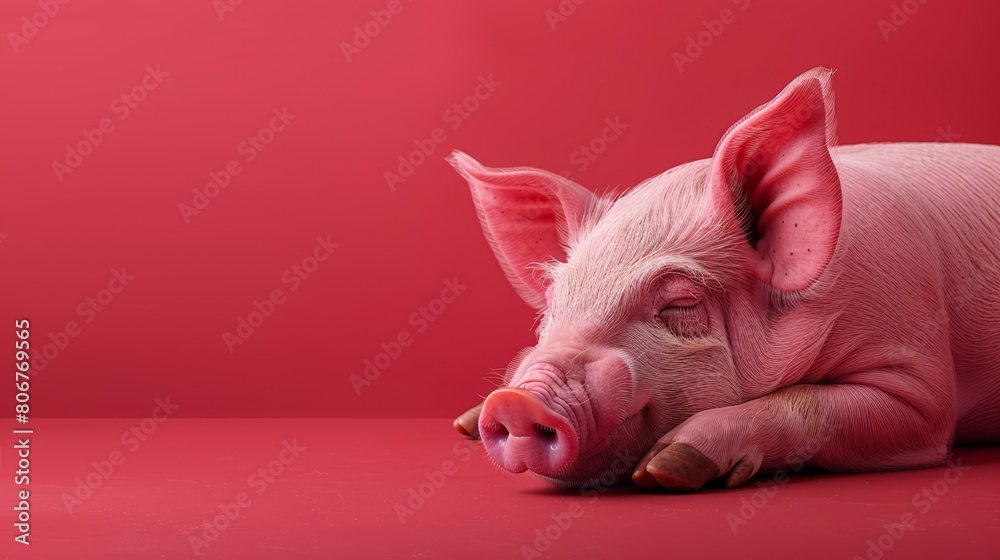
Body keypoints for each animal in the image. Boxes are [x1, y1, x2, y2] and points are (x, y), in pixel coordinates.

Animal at [448, 66, 1000, 490]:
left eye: (680, 304)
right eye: (552, 304)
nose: (516, 401)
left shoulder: (917, 374)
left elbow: (814, 404)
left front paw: (667, 468)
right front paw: (466, 422)